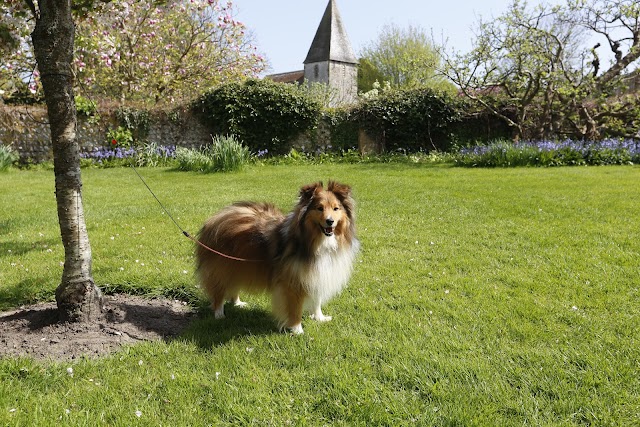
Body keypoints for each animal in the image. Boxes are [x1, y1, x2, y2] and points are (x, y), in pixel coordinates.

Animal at [196, 181, 360, 334]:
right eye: (319, 208)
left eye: (336, 208)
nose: (330, 221)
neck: (315, 242)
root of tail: (216, 218)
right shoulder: (293, 282)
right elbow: (295, 308)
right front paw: (297, 330)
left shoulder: (316, 274)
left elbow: (317, 300)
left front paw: (319, 318)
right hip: (223, 268)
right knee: (218, 291)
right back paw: (219, 314)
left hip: (237, 266)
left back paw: (238, 303)